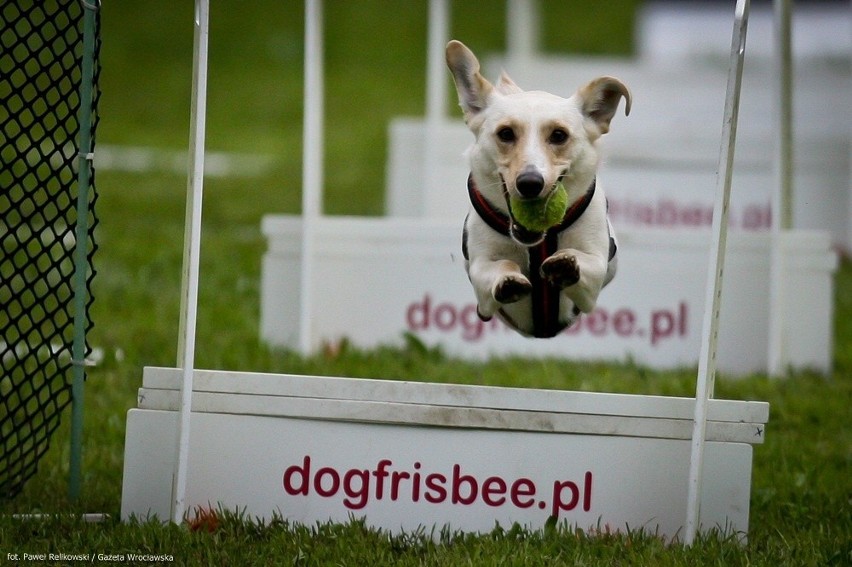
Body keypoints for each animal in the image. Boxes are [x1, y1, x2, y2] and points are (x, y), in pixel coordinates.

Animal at [446, 42, 632, 340]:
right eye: (505, 133)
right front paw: (508, 279)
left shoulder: (594, 274)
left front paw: (566, 264)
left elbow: (584, 260)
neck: (536, 243)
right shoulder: (480, 273)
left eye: (559, 135)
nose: (530, 182)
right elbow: (497, 267)